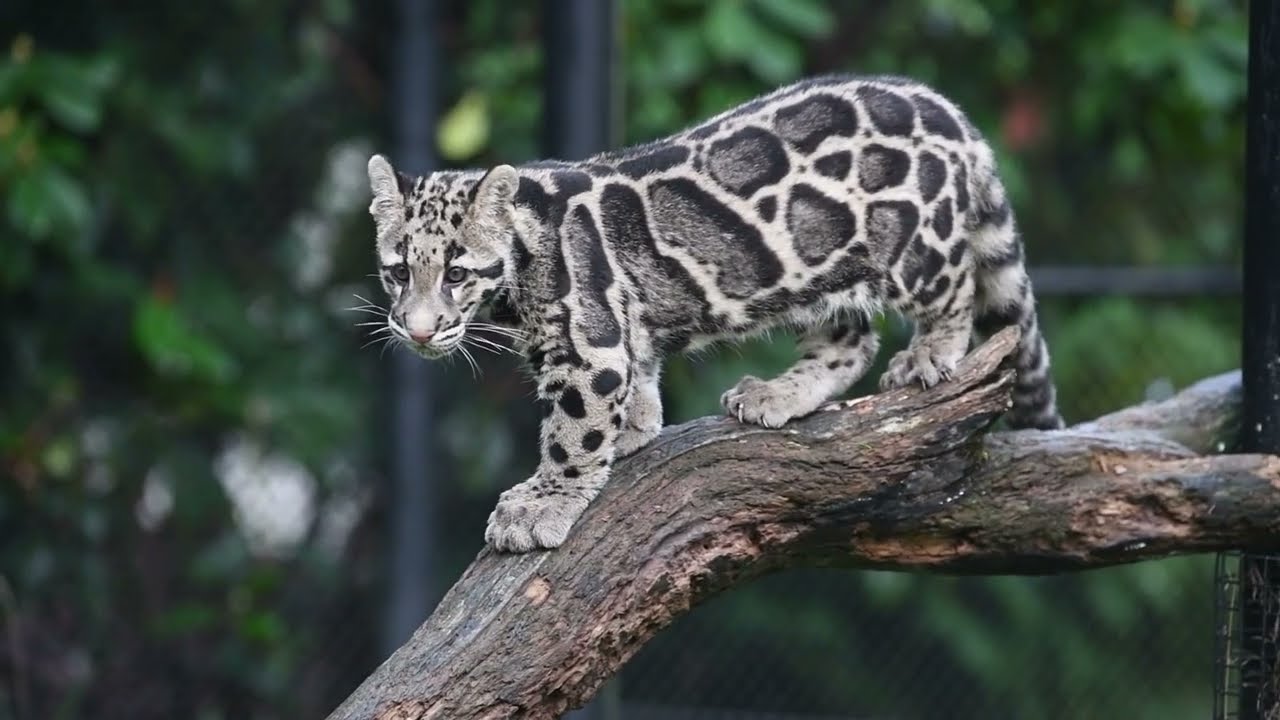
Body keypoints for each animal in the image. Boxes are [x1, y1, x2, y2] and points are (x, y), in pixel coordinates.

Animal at [364, 74, 1063, 553]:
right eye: (397, 271)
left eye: (456, 274)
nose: (417, 328)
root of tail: (945, 108)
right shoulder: (621, 333)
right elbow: (637, 381)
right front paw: (636, 427)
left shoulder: (589, 345)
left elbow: (572, 430)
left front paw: (542, 503)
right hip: (804, 270)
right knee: (850, 339)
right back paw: (779, 394)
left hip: (913, 246)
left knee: (955, 292)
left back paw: (929, 354)